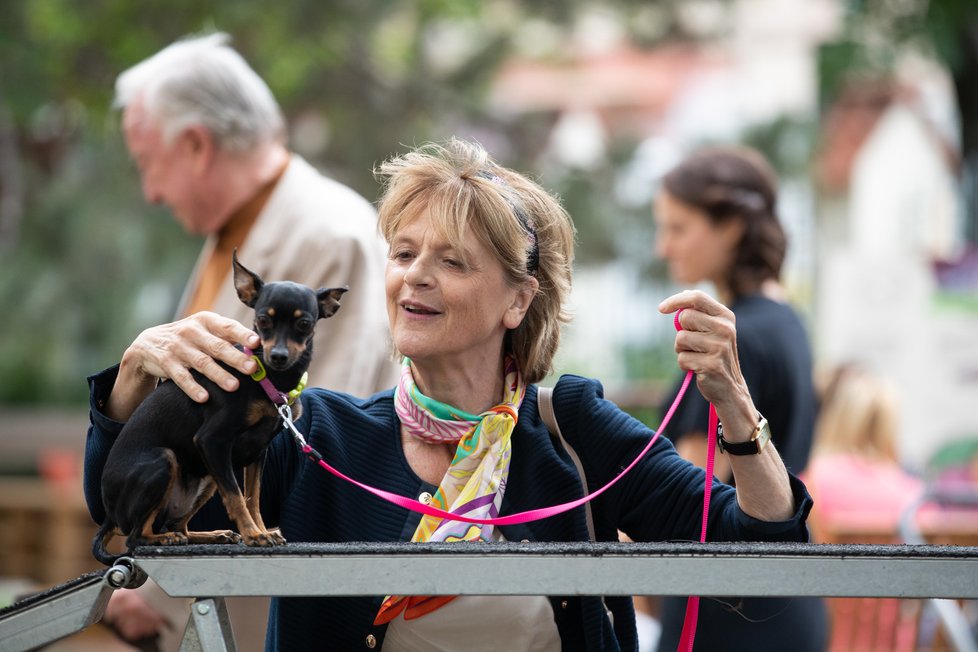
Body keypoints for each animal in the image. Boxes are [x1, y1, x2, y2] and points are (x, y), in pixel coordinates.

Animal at [91, 252, 344, 564]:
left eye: (304, 324)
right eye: (262, 320)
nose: (278, 356)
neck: (269, 379)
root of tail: (109, 516)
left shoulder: (258, 452)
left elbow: (252, 497)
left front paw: (262, 530)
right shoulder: (211, 440)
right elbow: (236, 497)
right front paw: (254, 534)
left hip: (209, 477)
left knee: (178, 525)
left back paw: (210, 535)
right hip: (167, 460)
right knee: (137, 537)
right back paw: (163, 538)